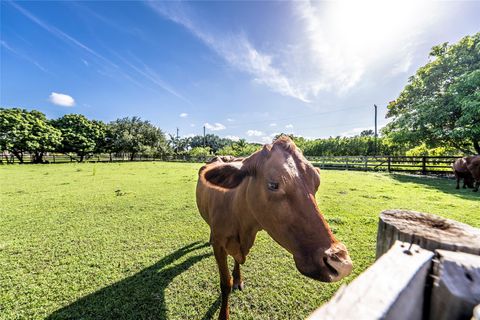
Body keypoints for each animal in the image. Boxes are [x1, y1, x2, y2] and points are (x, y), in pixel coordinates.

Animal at [195, 136, 352, 320]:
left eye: (317, 183)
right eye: (273, 184)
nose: (342, 263)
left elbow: (236, 263)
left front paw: (238, 279)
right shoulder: (219, 246)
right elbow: (225, 283)